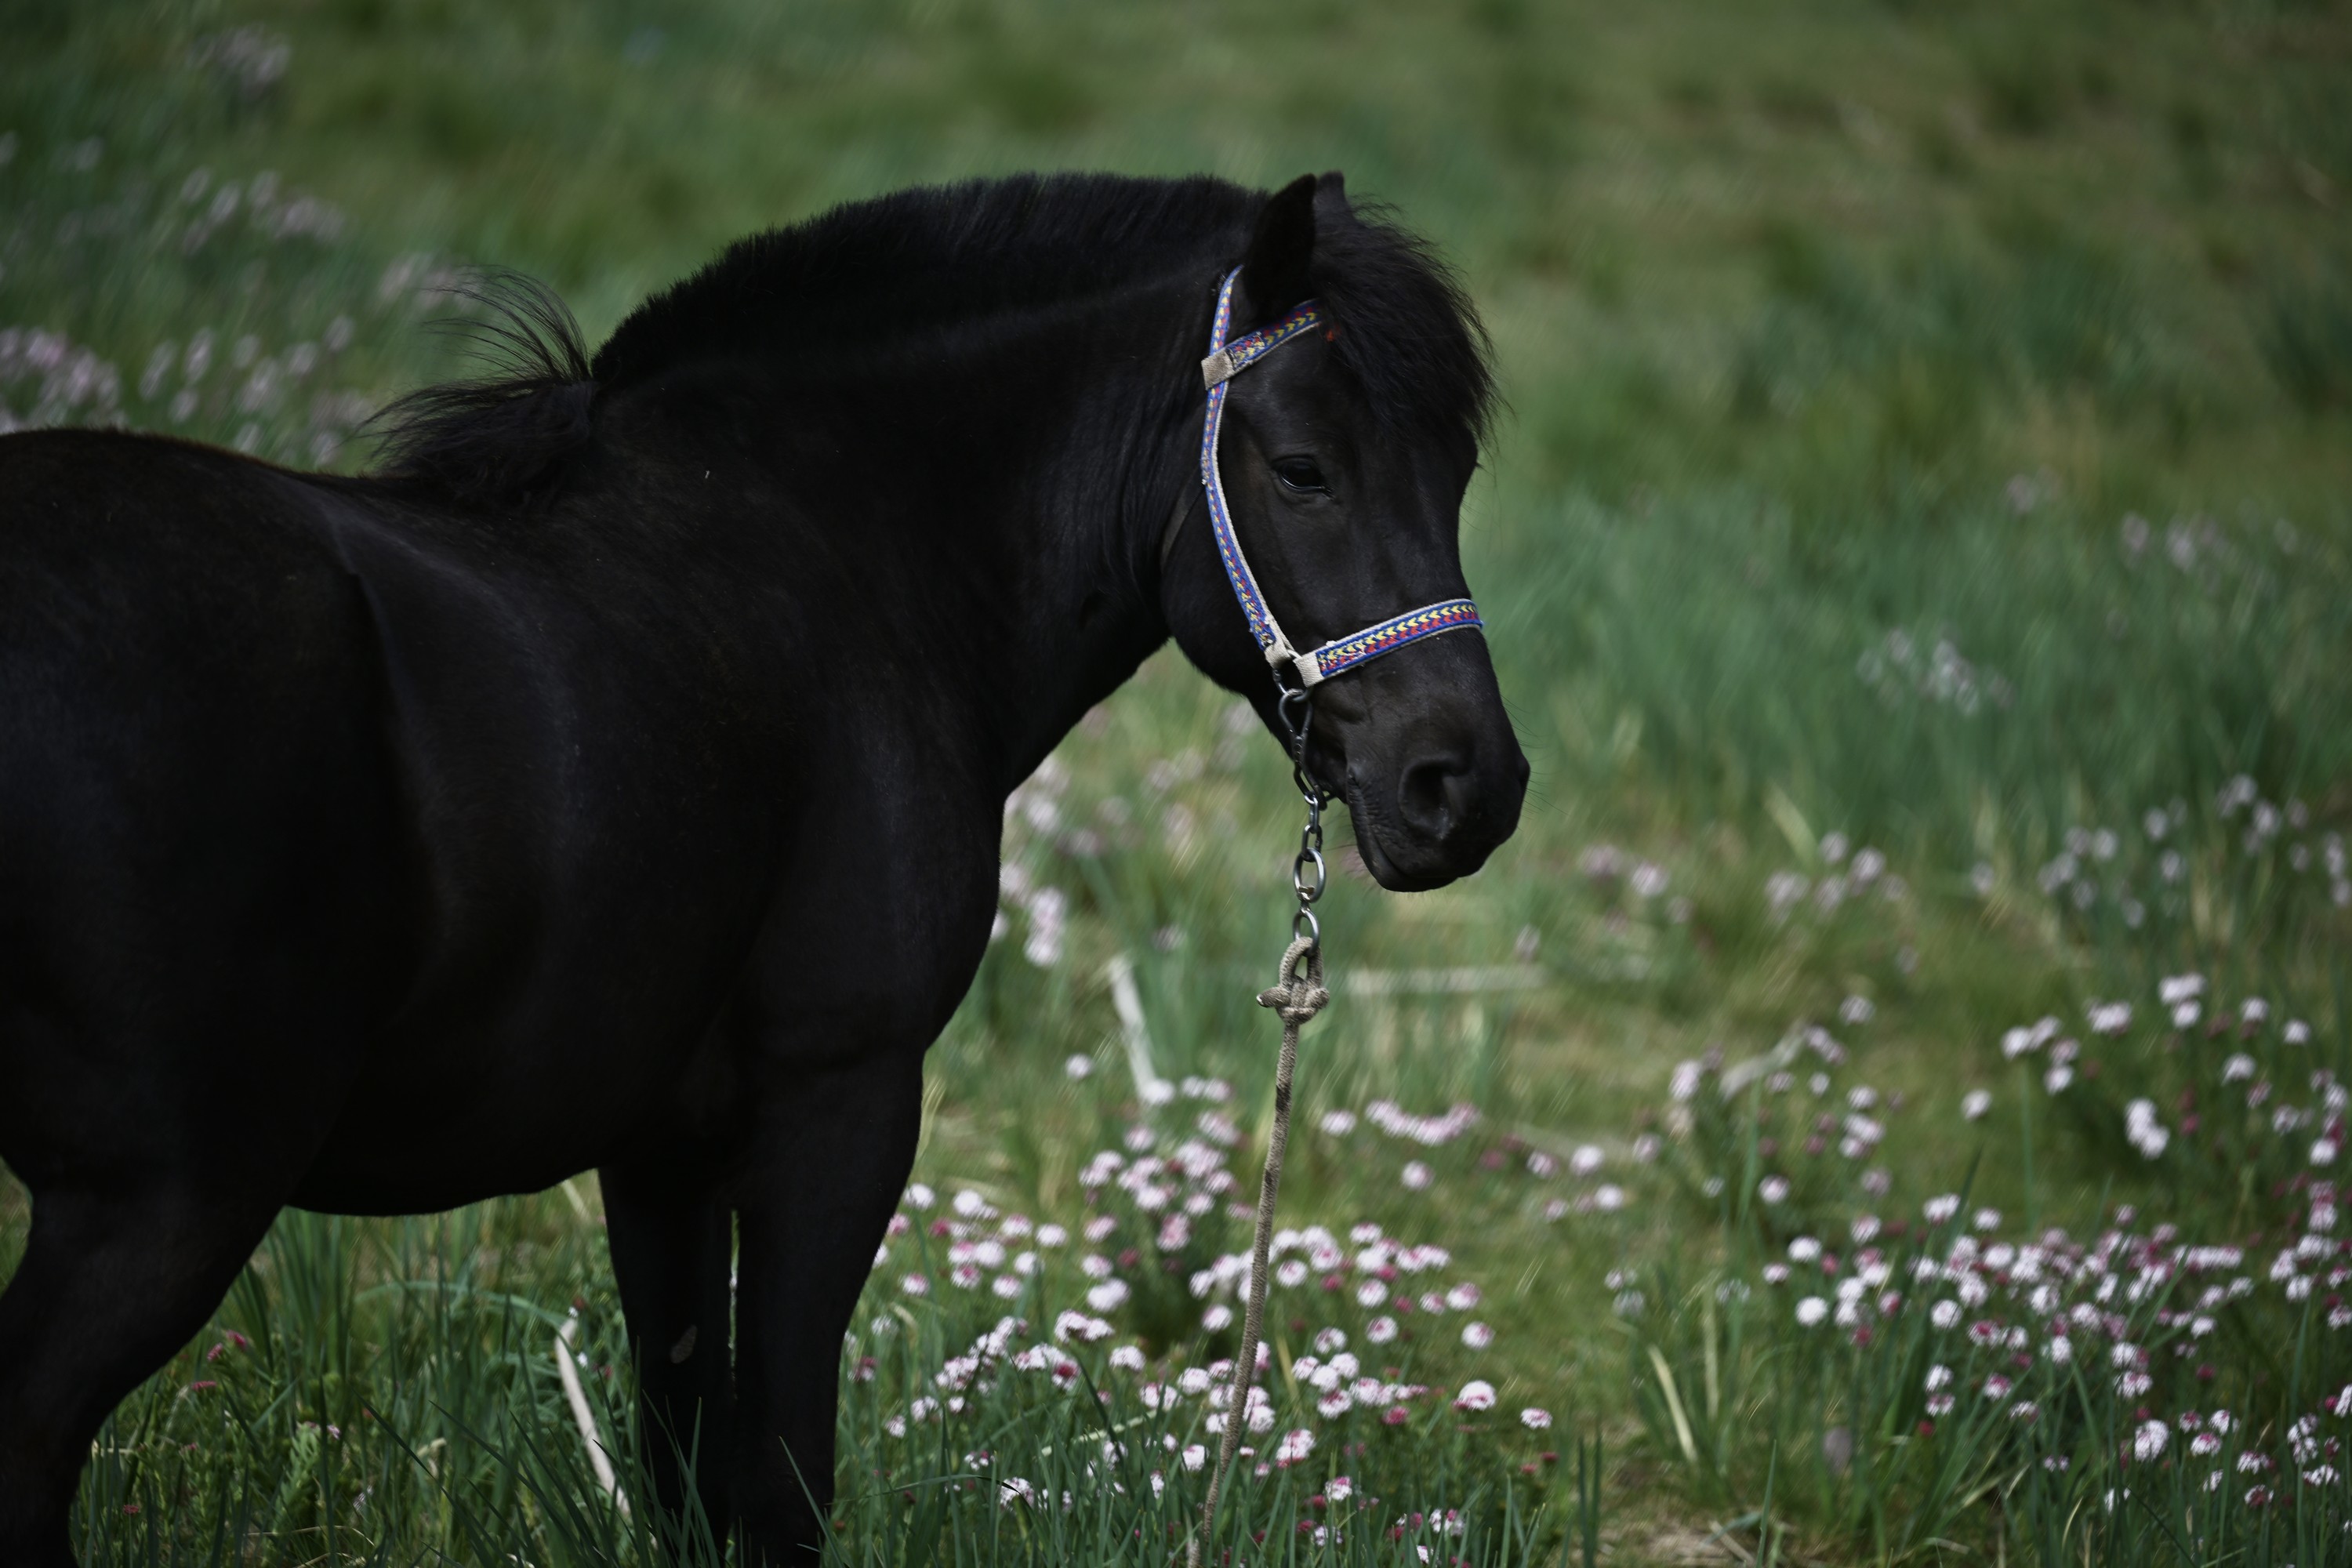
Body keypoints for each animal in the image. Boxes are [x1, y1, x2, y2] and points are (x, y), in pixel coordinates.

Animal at [0, 169, 1527, 1563]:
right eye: (1305, 468)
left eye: (1456, 476)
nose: (1471, 788)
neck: (837, 559)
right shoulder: (836, 1104)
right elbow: (781, 1478)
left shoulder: (657, 1149)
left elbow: (682, 1464)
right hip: (165, 1199)